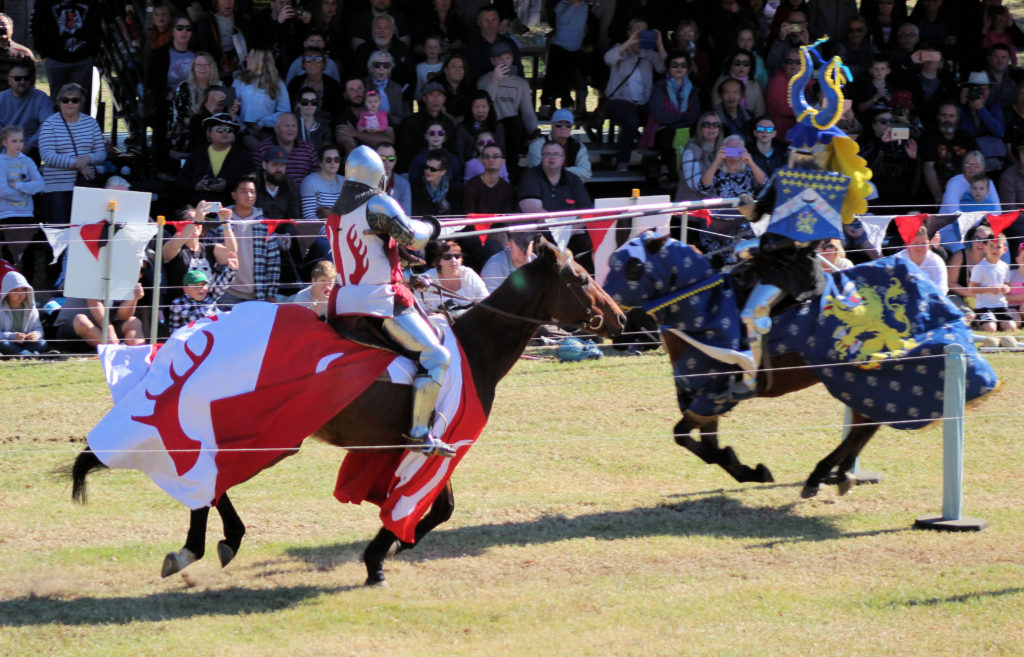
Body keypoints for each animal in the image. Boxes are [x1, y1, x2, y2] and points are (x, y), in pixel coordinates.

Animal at [70, 240, 622, 581]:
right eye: (579, 277)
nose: (617, 316)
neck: (476, 349)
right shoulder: (436, 446)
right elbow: (432, 507)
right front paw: (382, 554)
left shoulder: (411, 448)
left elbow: (436, 509)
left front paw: (391, 548)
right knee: (208, 478)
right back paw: (202, 545)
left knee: (209, 480)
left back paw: (214, 543)